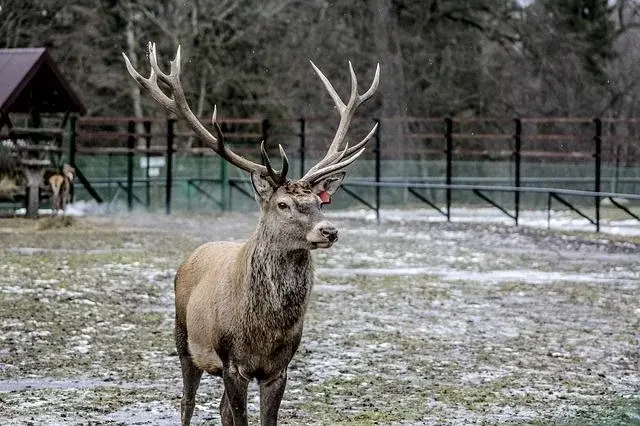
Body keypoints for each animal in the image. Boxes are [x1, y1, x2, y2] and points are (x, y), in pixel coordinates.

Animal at [122, 44, 378, 426]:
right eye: (283, 204)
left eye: (319, 202)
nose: (329, 230)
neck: (264, 330)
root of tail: (192, 255)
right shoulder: (232, 362)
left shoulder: (279, 369)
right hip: (184, 340)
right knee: (187, 401)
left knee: (221, 408)